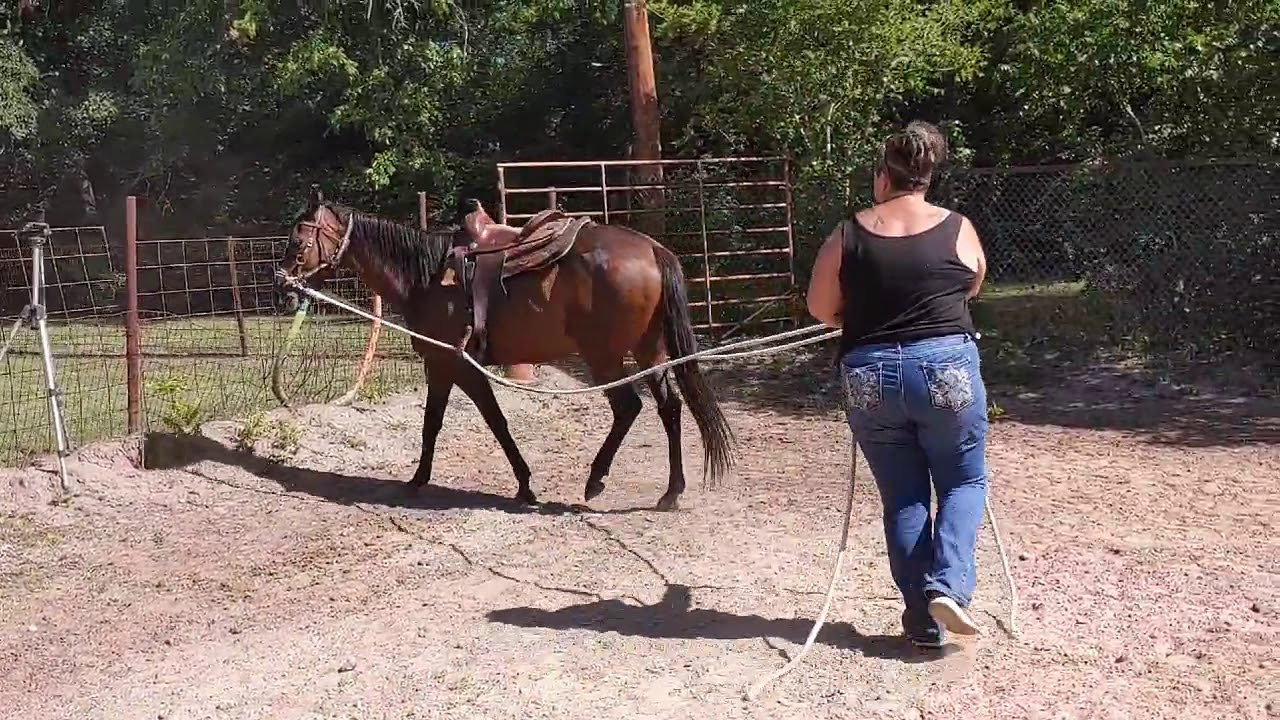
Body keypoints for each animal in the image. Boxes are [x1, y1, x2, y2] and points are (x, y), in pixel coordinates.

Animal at [276, 197, 736, 511]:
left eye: (299, 240)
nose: (281, 285)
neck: (426, 277)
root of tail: (652, 251)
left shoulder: (450, 364)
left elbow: (462, 423)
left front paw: (422, 480)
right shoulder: (454, 368)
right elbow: (466, 423)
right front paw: (517, 483)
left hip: (604, 356)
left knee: (628, 408)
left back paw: (595, 481)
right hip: (649, 351)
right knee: (669, 408)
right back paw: (671, 492)